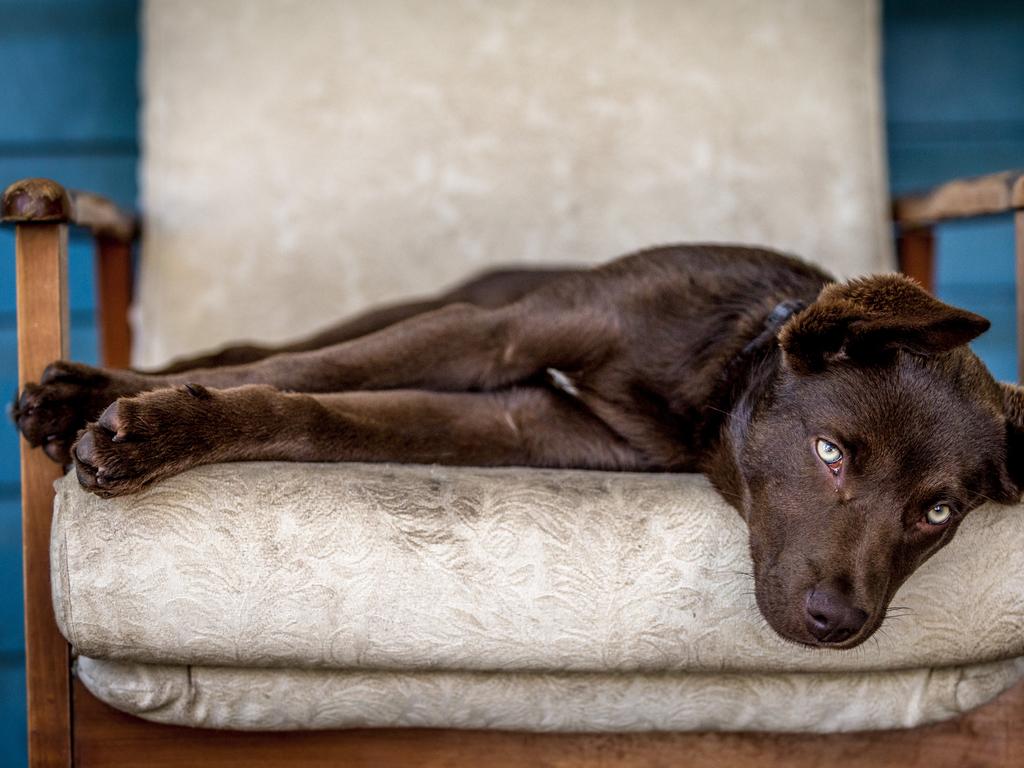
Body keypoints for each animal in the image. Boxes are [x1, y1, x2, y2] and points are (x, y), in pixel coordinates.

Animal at [12, 246, 1019, 651]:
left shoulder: (518, 424)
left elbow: (320, 413)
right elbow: (298, 370)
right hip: (445, 304)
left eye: (937, 512)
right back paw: (91, 386)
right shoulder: (494, 335)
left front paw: (162, 423)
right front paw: (146, 422)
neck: (712, 374)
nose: (840, 623)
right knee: (265, 344)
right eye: (829, 452)